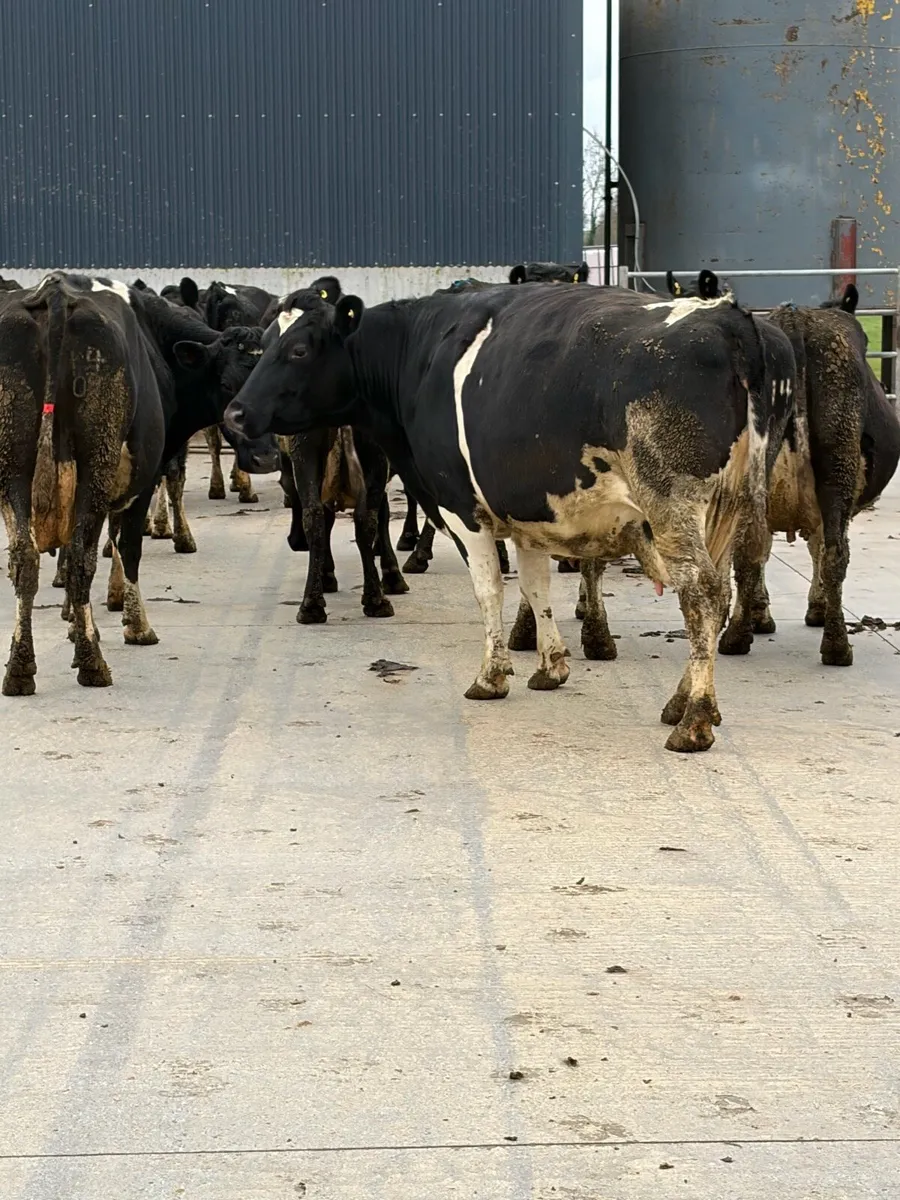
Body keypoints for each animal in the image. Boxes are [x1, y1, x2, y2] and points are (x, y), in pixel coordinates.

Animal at [225, 284, 794, 751]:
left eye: (298, 350)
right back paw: (684, 703)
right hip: (729, 511)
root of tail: (730, 318)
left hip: (673, 501)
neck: (417, 353)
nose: (234, 413)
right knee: (718, 593)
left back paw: (693, 721)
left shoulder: (462, 509)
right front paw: (551, 666)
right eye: (263, 344)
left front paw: (492, 676)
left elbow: (490, 590)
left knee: (702, 593)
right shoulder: (528, 513)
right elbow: (536, 587)